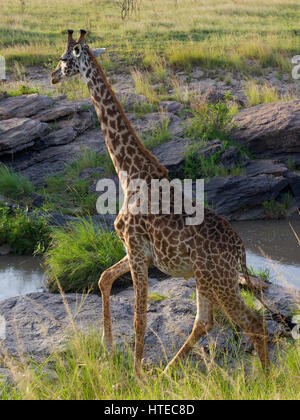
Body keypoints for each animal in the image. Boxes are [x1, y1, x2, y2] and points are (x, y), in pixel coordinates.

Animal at [50, 29, 270, 372]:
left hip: (218, 279)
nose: (52, 77)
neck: (130, 174)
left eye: (63, 58)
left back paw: (266, 379)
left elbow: (139, 318)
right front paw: (108, 348)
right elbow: (103, 278)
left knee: (252, 323)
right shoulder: (136, 251)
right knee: (205, 321)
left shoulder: (137, 250)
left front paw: (136, 372)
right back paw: (167, 372)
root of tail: (240, 249)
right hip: (206, 279)